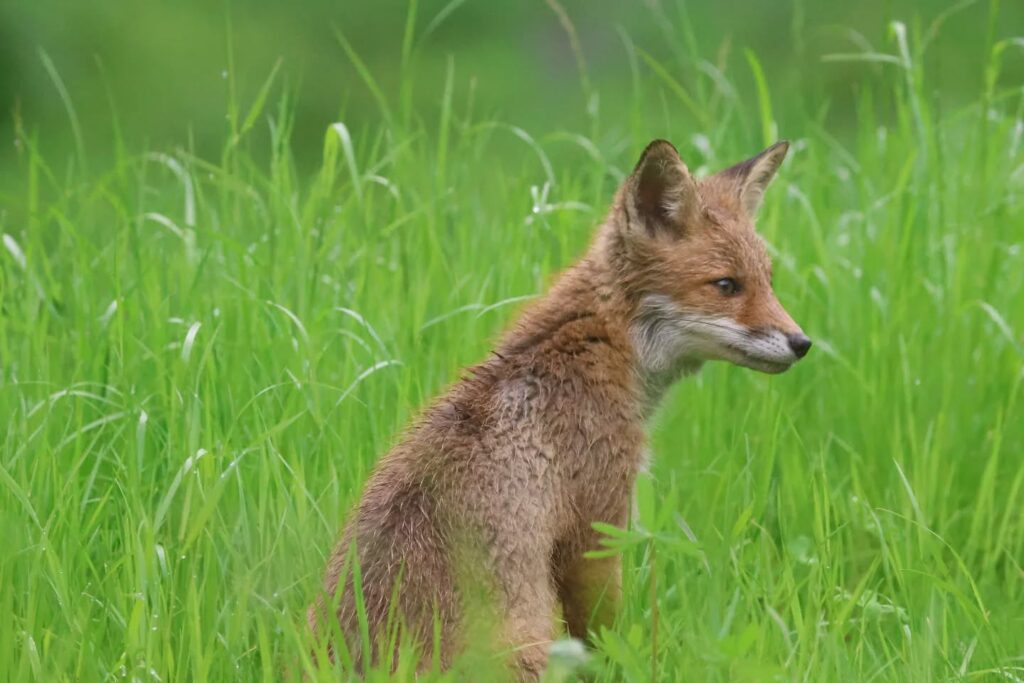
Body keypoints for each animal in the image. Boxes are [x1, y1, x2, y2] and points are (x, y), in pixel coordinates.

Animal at [308, 138, 811, 679]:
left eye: (768, 281)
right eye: (726, 285)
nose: (802, 343)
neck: (591, 352)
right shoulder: (595, 533)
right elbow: (603, 640)